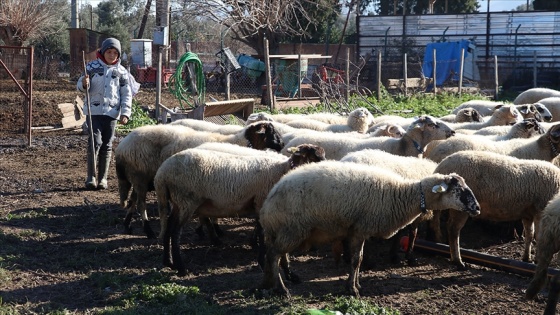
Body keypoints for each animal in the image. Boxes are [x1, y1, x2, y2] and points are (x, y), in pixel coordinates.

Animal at [114, 122, 284, 238]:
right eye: (271, 132)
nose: (282, 144)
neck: (240, 142)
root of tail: (121, 147)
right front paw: (211, 230)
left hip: (140, 178)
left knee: (133, 199)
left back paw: (127, 225)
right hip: (140, 177)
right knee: (140, 203)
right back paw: (148, 230)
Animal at [155, 143, 326, 276]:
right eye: (315, 157)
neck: (281, 170)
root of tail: (162, 173)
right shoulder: (261, 201)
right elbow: (262, 233)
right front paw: (261, 261)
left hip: (178, 203)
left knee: (169, 227)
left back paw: (168, 262)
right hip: (186, 200)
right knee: (175, 232)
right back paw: (181, 267)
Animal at [256, 162, 480, 298]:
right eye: (459, 190)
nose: (477, 208)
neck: (400, 195)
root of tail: (267, 205)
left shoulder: (360, 231)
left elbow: (360, 258)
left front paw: (356, 285)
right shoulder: (359, 229)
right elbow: (356, 260)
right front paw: (352, 289)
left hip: (287, 230)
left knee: (277, 255)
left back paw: (275, 281)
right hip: (293, 229)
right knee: (274, 255)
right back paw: (281, 288)